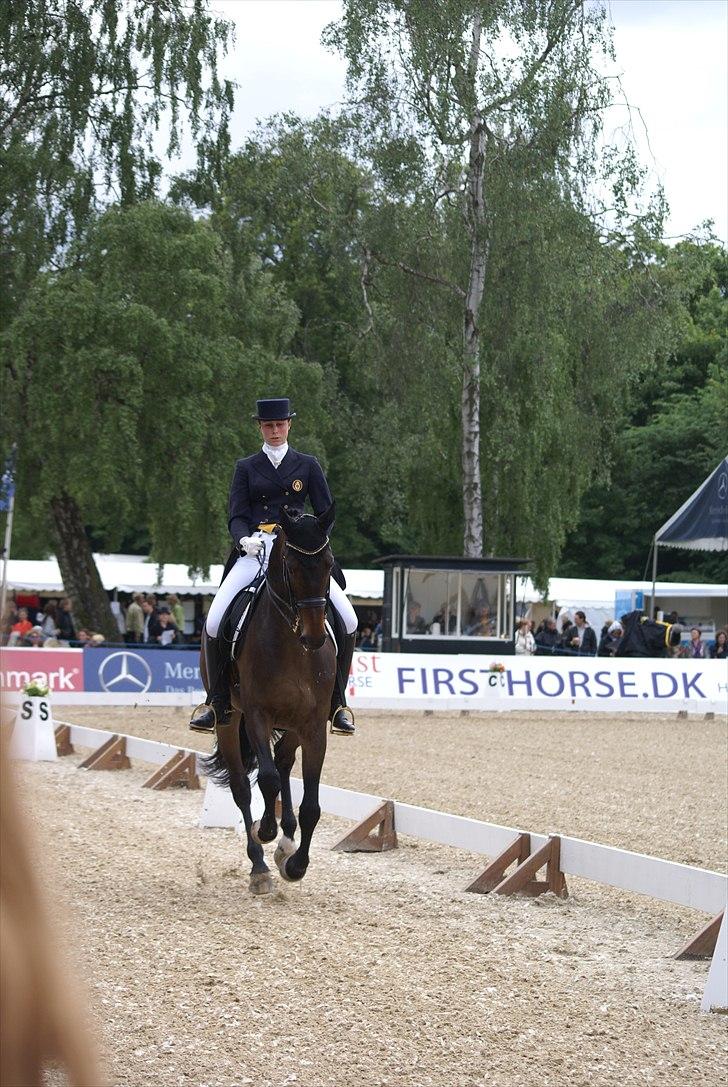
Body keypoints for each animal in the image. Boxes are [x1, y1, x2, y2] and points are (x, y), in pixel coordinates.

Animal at [202, 504, 339, 895]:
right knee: (242, 787)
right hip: (230, 720)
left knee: (284, 762)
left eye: (329, 563)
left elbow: (311, 806)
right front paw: (265, 831)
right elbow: (265, 780)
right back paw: (259, 863)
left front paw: (296, 864)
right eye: (290, 566)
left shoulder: (313, 726)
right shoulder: (258, 715)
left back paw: (286, 841)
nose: (314, 636)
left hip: (292, 725)